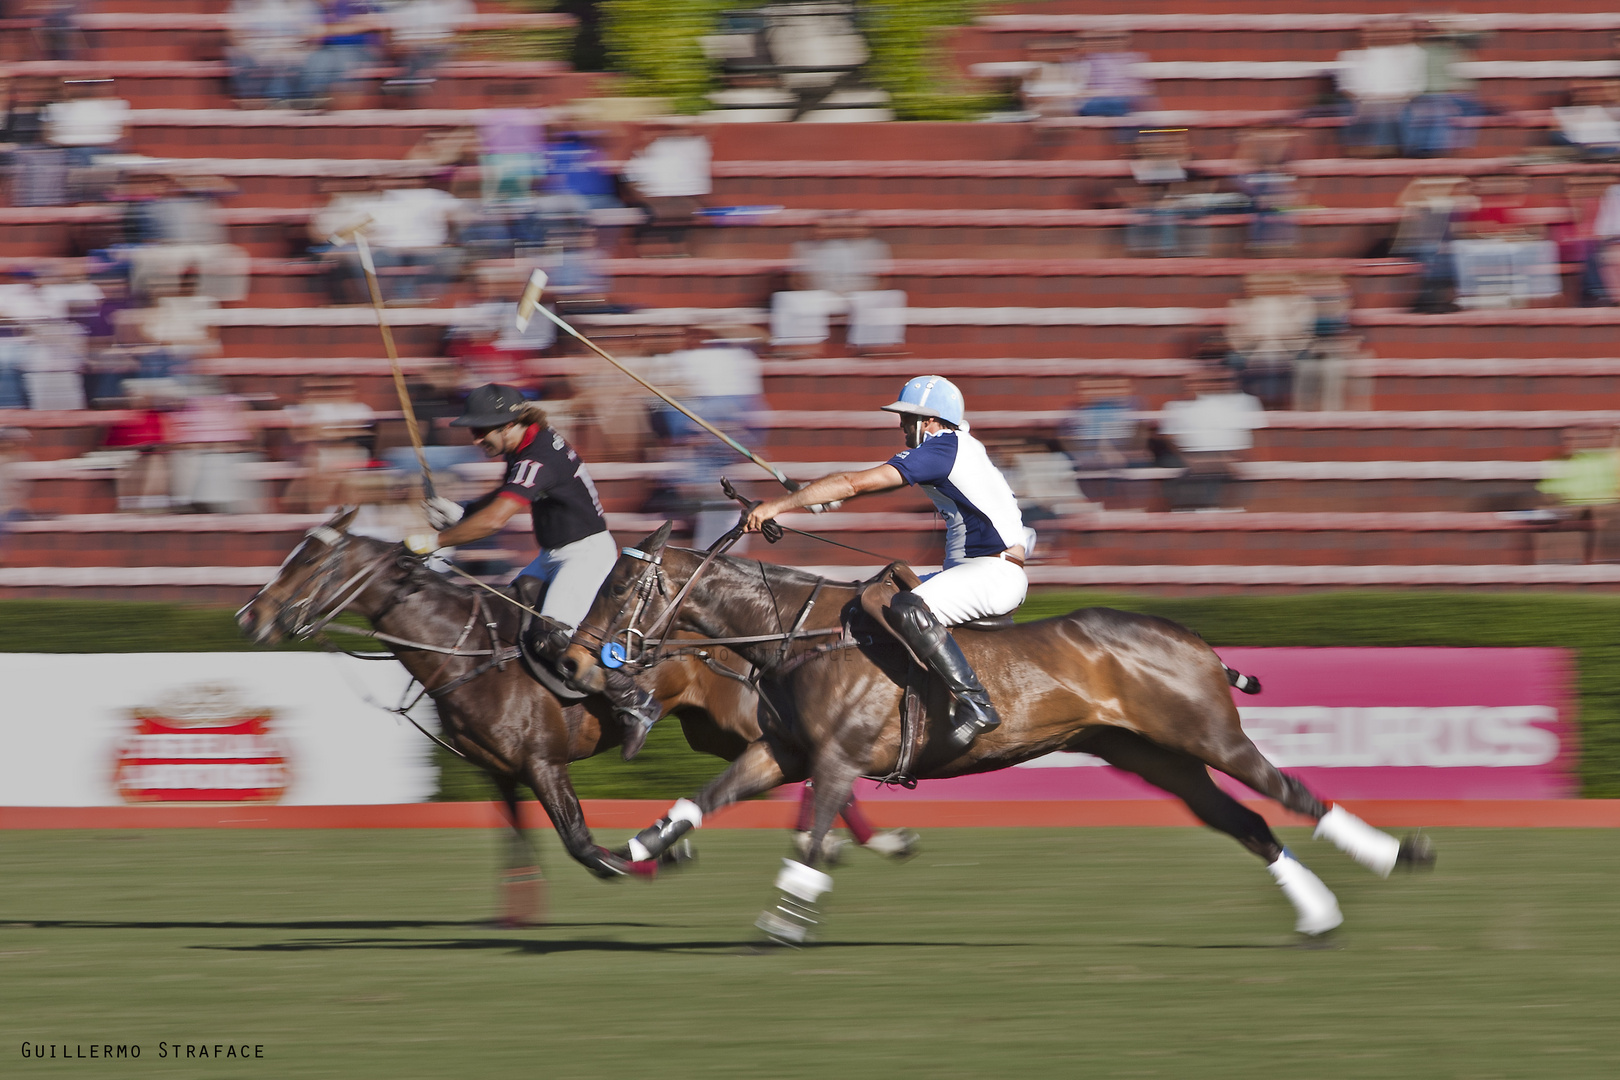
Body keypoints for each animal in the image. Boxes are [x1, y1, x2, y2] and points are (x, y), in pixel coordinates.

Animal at [231, 508, 913, 913]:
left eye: (310, 562)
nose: (249, 617)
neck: (464, 648)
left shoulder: (542, 760)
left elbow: (581, 843)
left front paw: (654, 860)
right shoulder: (499, 773)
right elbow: (518, 851)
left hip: (738, 720)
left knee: (816, 764)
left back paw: (863, 841)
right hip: (711, 730)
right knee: (801, 767)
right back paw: (858, 843)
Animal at [563, 527, 1438, 939]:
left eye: (623, 587)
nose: (572, 659)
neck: (796, 633)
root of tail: (1193, 638)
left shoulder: (838, 760)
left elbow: (809, 840)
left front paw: (785, 921)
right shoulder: (783, 753)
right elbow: (706, 795)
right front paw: (634, 845)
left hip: (1207, 736)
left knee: (1288, 790)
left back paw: (1397, 855)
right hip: (1157, 758)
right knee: (1246, 818)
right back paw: (1319, 916)